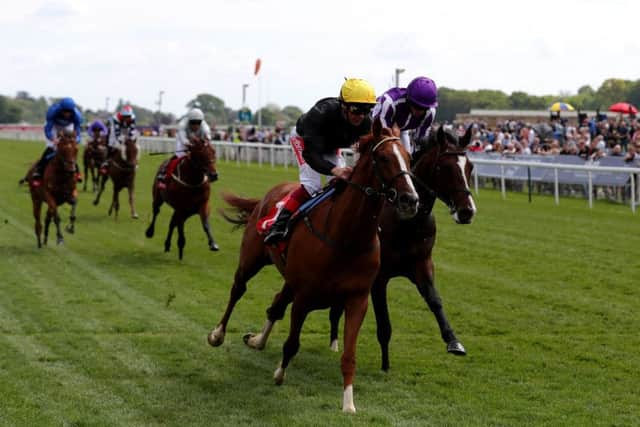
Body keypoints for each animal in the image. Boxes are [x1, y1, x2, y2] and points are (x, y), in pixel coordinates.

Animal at [209, 122, 420, 412]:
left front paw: (348, 403)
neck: (346, 237)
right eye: (383, 157)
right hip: (253, 258)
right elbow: (291, 343)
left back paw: (257, 340)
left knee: (276, 304)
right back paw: (218, 334)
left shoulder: (357, 299)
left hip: (289, 278)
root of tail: (269, 194)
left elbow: (349, 355)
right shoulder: (305, 295)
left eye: (409, 158)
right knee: (238, 289)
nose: (410, 200)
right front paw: (279, 374)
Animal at [330, 126, 476, 372]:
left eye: (470, 167)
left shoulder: (422, 265)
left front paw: (453, 341)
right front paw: (385, 364)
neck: (407, 222)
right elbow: (384, 323)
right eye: (446, 167)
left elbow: (435, 301)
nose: (467, 211)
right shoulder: (378, 277)